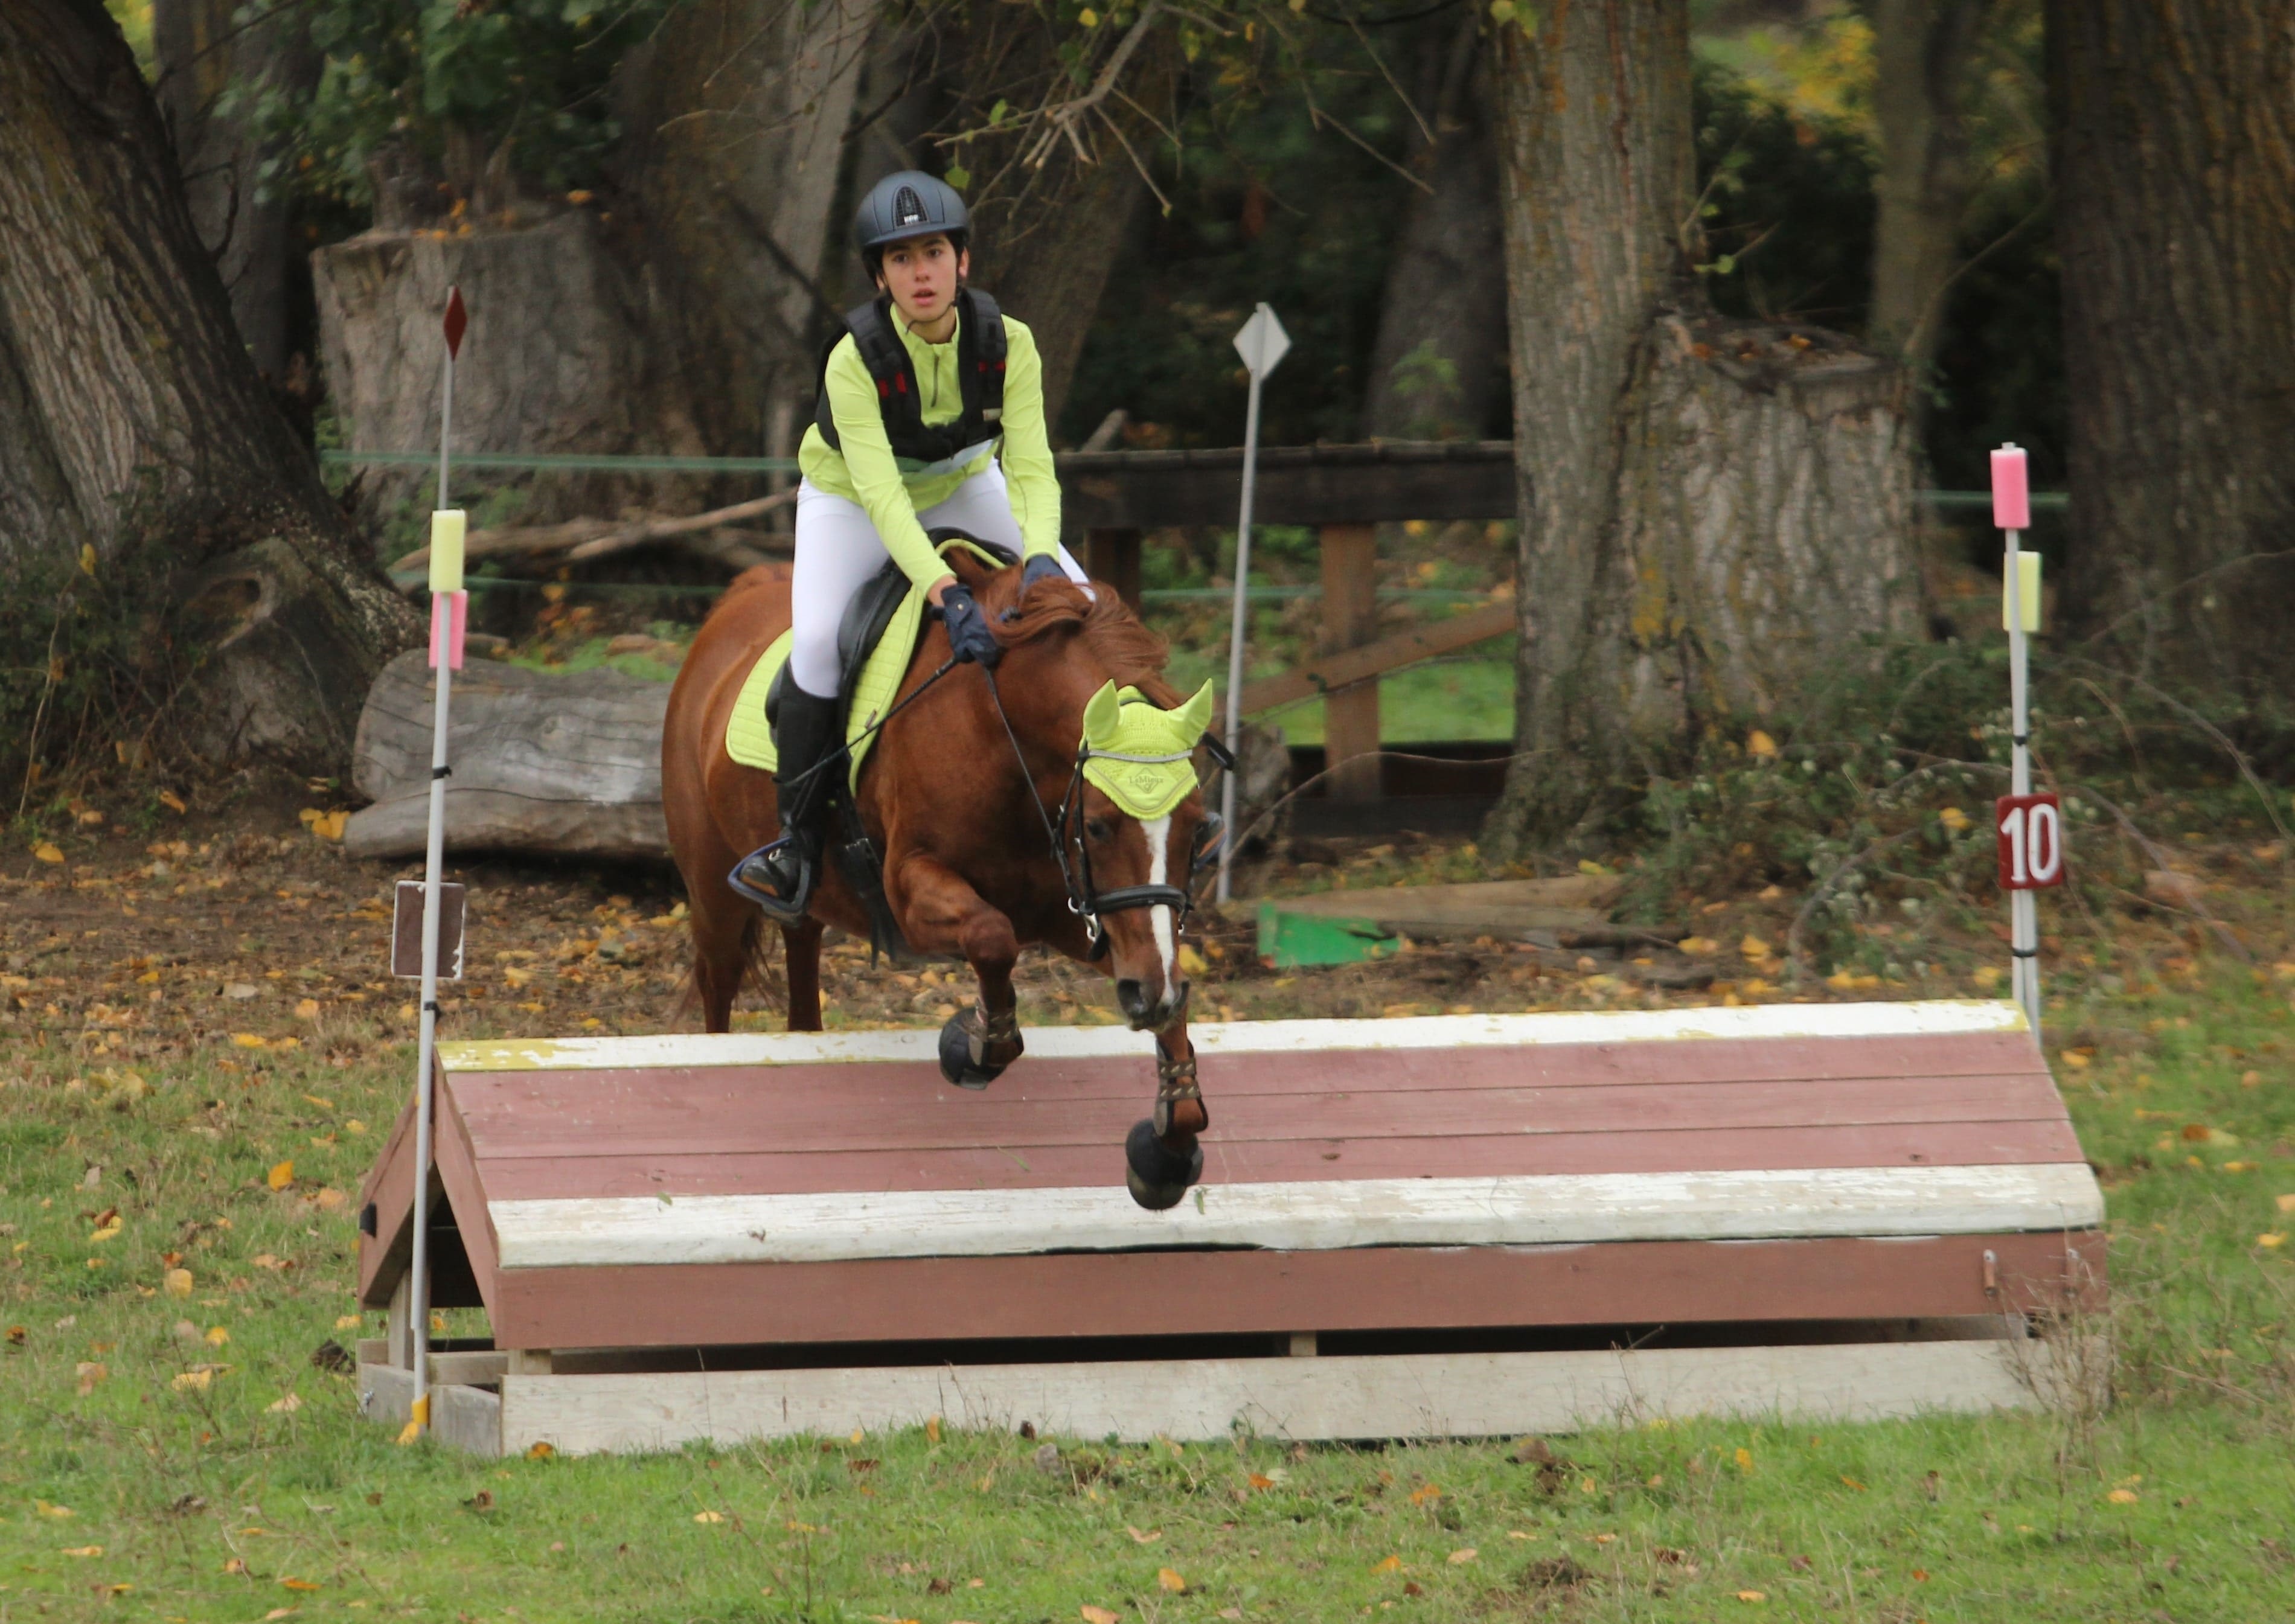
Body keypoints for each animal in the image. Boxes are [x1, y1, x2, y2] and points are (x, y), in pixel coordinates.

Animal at [661, 552, 1221, 1211]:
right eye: (1099, 826)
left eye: (1197, 826)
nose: (1144, 999)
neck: (1007, 739)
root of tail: (733, 602)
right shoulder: (911, 891)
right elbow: (991, 937)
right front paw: (972, 1046)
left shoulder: (1085, 914)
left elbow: (1167, 984)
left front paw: (1167, 1150)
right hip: (712, 892)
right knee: (718, 983)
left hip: (807, 902)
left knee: (801, 960)